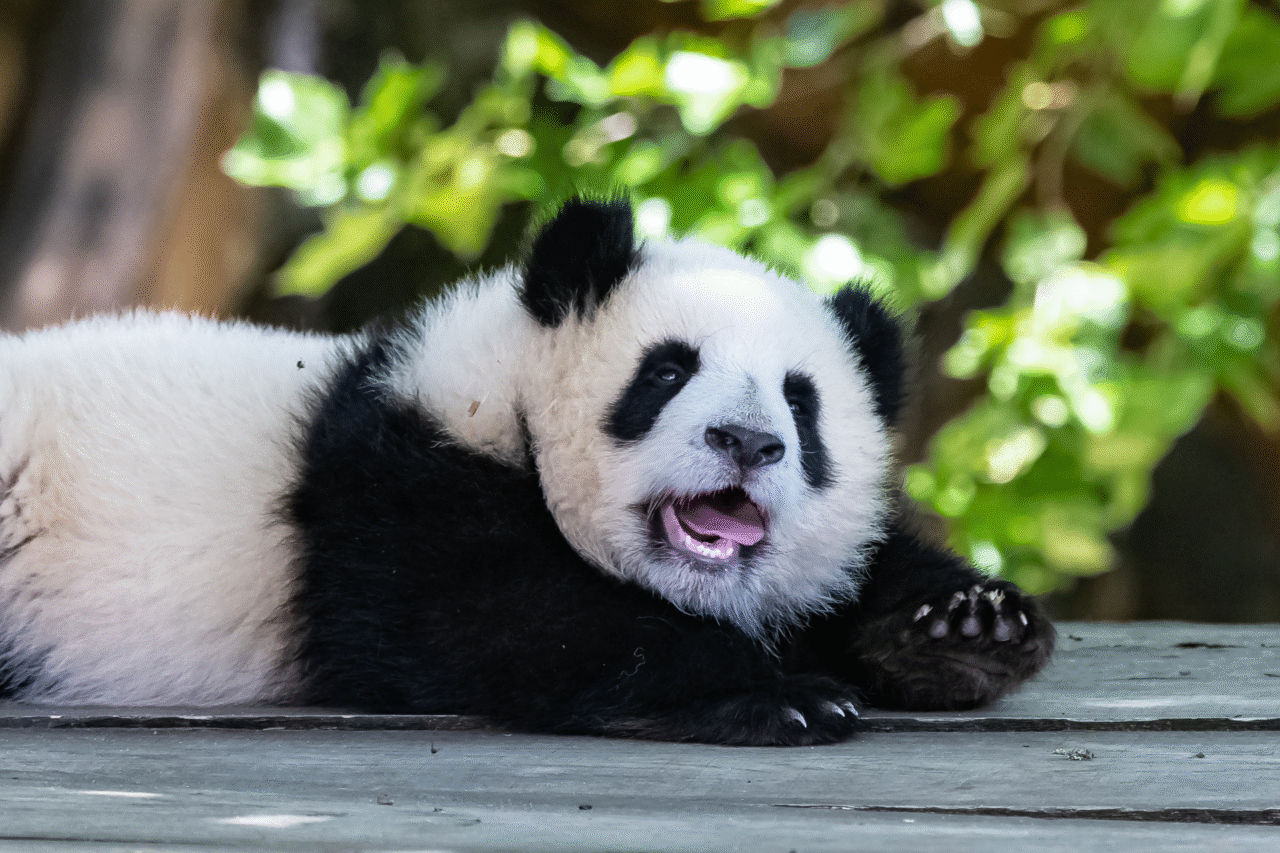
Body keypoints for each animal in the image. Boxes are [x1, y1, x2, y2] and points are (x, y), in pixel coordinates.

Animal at [0, 197, 1052, 746]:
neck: (504, 391)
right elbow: (503, 621)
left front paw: (962, 627)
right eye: (668, 370)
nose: (748, 442)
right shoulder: (401, 486)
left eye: (802, 403)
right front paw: (779, 692)